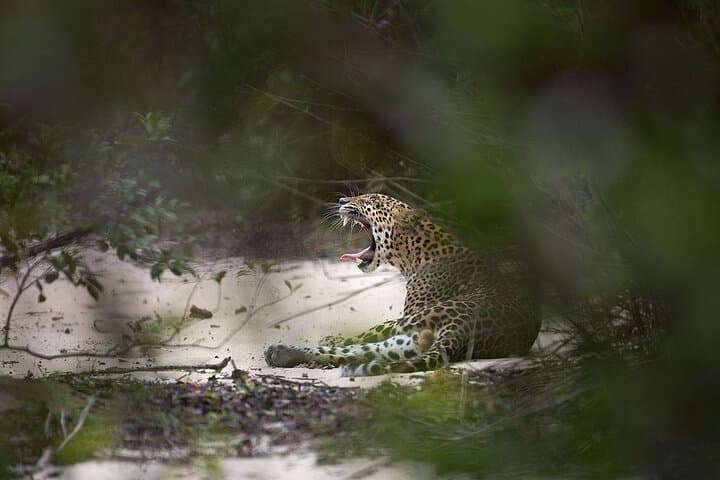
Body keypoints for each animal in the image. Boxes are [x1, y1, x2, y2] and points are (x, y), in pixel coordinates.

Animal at [264, 193, 540, 376]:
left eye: (370, 201)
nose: (342, 201)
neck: (412, 255)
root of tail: (463, 330)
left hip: (403, 325)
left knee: (351, 344)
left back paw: (280, 350)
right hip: (405, 343)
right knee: (356, 352)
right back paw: (284, 354)